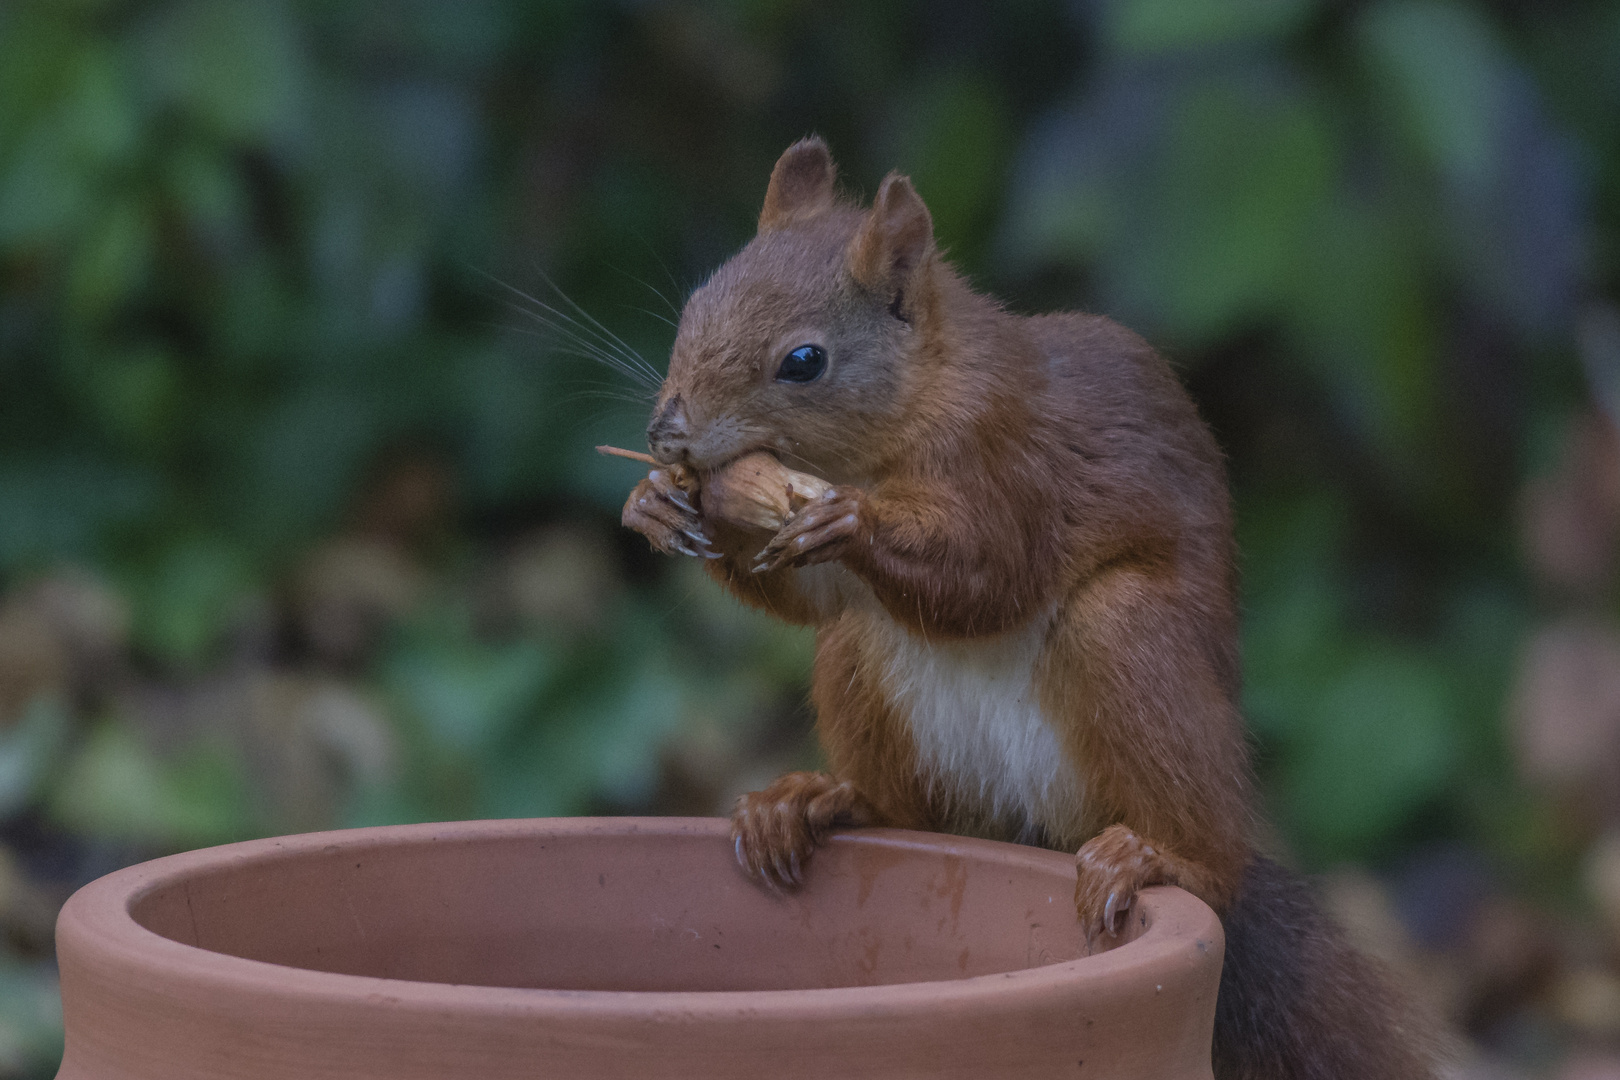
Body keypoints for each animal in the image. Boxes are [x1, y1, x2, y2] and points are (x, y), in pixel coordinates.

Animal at [622, 139, 1445, 1075]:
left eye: (804, 361)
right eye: (695, 307)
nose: (666, 434)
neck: (909, 410)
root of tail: (1031, 828)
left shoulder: (1013, 462)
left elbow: (990, 575)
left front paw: (849, 520)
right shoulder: (827, 571)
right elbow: (806, 595)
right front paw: (655, 503)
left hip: (1128, 636)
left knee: (1210, 853)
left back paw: (1158, 858)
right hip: (860, 659)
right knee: (903, 804)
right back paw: (815, 803)